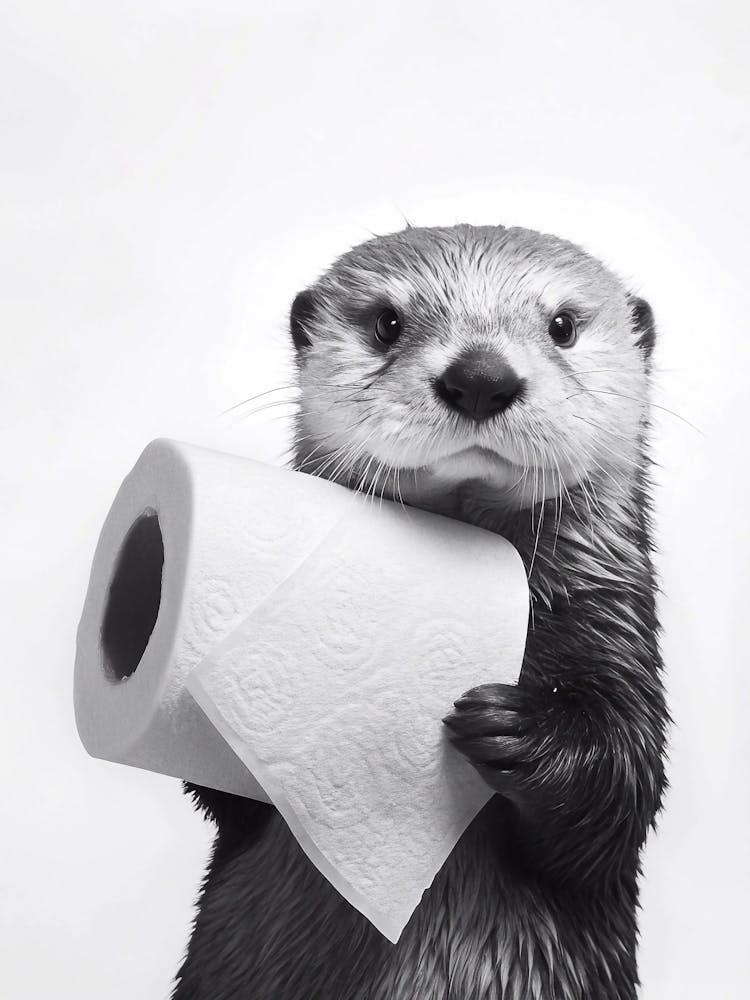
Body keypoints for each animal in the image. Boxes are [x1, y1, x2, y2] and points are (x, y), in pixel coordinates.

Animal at [172, 224, 668, 1000]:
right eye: (387, 322)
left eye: (563, 325)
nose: (482, 376)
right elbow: (226, 796)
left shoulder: (617, 632)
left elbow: (619, 792)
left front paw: (515, 726)